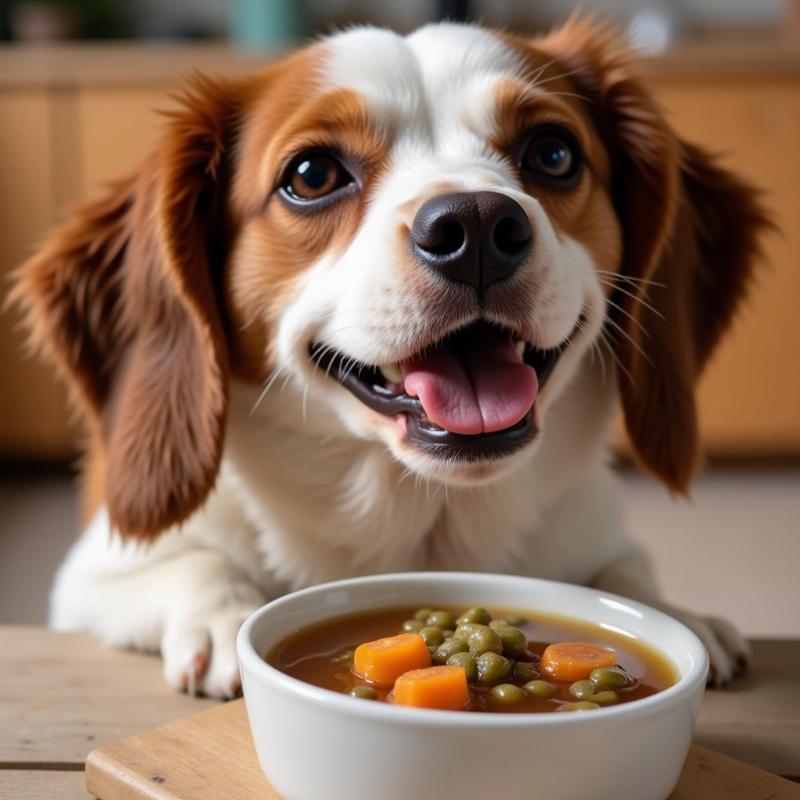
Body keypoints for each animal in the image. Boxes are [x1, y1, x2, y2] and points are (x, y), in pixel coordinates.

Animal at [12, 15, 764, 696]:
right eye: (312, 174)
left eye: (552, 154)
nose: (477, 225)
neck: (423, 521)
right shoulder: (90, 578)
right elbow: (195, 565)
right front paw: (226, 622)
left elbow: (623, 572)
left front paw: (673, 612)